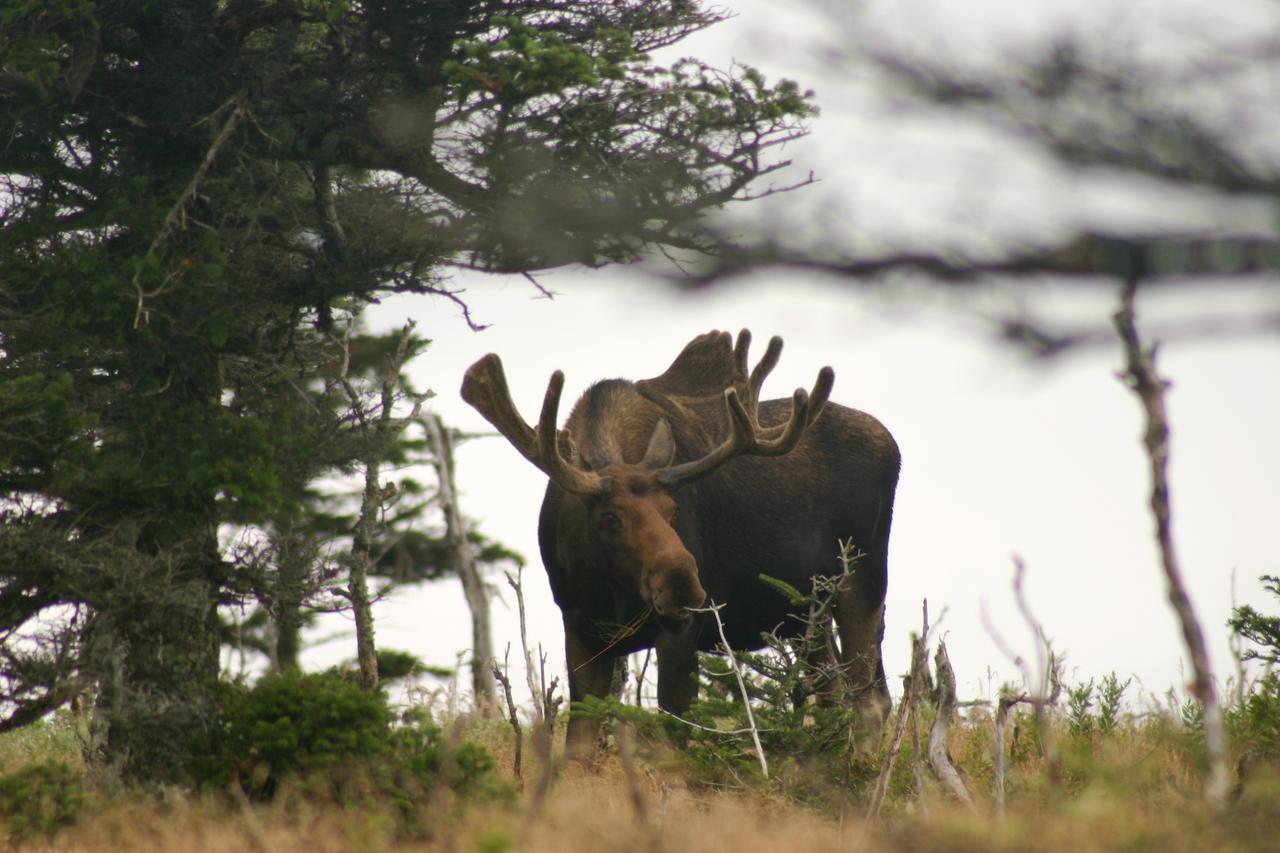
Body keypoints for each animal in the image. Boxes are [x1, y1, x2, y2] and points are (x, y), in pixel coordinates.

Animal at [463, 327, 901, 753]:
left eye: (674, 509)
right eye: (609, 517)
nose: (683, 585)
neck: (610, 590)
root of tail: (892, 443)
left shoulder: (681, 631)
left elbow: (673, 742)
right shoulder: (581, 628)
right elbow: (579, 746)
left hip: (863, 577)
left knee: (870, 700)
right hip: (806, 610)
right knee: (836, 692)